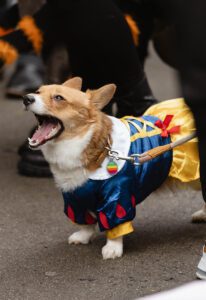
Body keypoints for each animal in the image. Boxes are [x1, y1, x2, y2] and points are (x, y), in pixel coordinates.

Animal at [22, 76, 206, 258]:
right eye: (38, 91)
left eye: (59, 98)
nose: (26, 98)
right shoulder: (74, 197)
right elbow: (85, 223)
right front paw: (82, 237)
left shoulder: (117, 197)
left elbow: (114, 224)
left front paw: (113, 248)